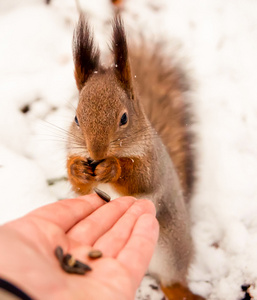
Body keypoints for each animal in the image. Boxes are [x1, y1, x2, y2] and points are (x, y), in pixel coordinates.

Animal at [66, 14, 202, 300]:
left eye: (124, 118)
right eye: (76, 118)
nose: (96, 153)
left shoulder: (153, 161)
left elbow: (141, 180)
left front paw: (112, 168)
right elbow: (81, 187)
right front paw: (78, 170)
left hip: (171, 250)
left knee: (172, 279)